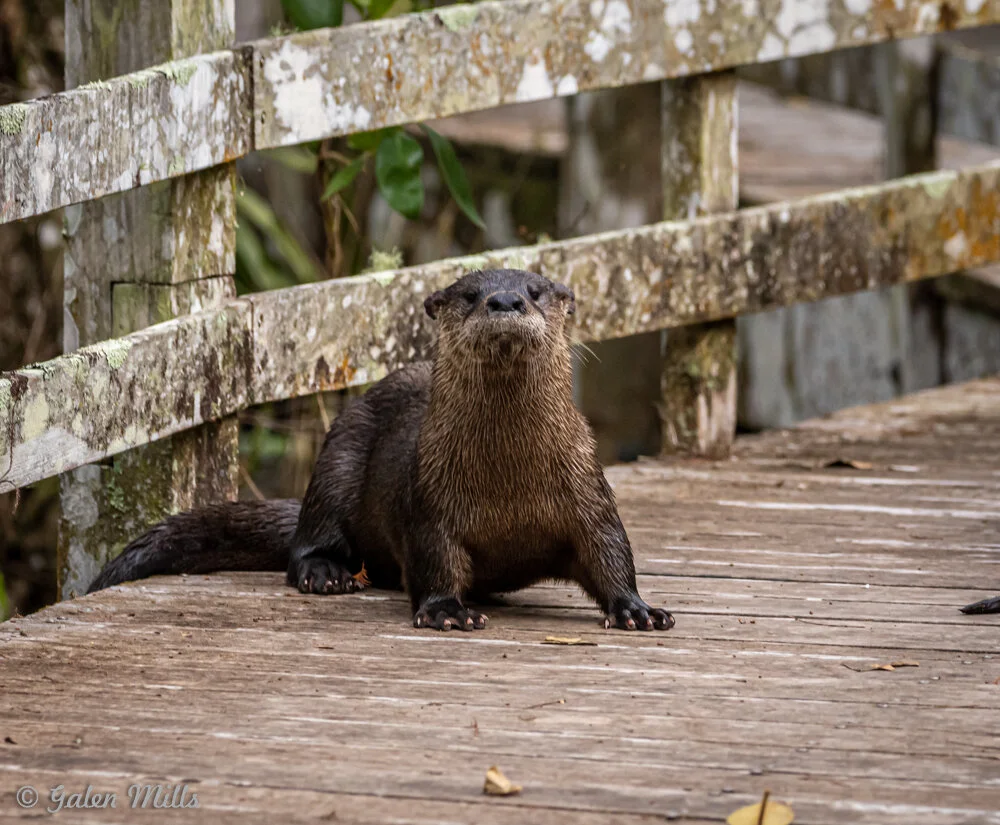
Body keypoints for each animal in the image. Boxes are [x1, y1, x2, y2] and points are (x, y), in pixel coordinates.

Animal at [89, 269, 674, 632]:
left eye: (535, 290)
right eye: (470, 294)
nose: (504, 300)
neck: (509, 481)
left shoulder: (588, 491)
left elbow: (611, 552)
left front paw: (637, 610)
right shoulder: (430, 504)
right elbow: (434, 559)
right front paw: (447, 611)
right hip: (337, 458)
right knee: (307, 541)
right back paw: (326, 574)